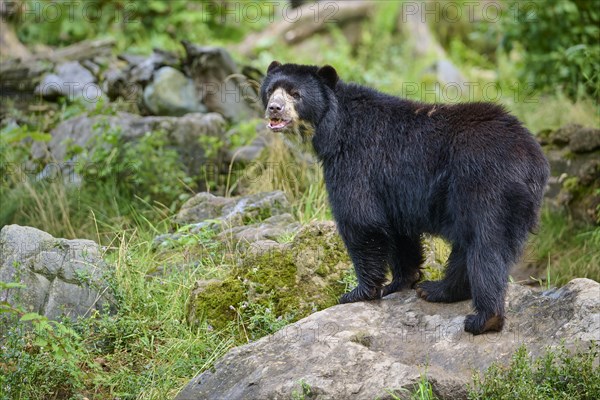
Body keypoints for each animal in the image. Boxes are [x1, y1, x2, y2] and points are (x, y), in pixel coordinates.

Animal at [258, 60, 548, 334]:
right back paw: (437, 289)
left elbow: (360, 219)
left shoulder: (356, 161)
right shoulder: (391, 190)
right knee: (469, 247)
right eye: (271, 90)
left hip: (483, 186)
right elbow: (397, 232)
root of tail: (531, 160)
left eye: (296, 94)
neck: (333, 127)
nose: (274, 108)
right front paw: (401, 282)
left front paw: (357, 293)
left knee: (484, 246)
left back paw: (482, 318)